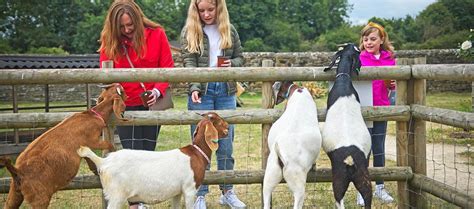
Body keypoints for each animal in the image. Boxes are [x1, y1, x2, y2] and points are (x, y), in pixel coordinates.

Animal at [0, 83, 128, 209]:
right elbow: (108, 144)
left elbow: (87, 156)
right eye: (122, 91)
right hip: (39, 198)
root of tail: (17, 172)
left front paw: (95, 170)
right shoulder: (93, 140)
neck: (92, 115)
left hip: (14, 195)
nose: (128, 96)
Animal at [77, 112, 229, 208]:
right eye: (217, 119)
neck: (196, 153)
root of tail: (104, 162)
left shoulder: (177, 192)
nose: (228, 126)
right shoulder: (190, 189)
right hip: (117, 195)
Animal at [322, 43, 374, 208]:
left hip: (339, 179)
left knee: (339, 200)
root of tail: (350, 159)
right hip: (363, 178)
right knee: (367, 197)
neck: (343, 81)